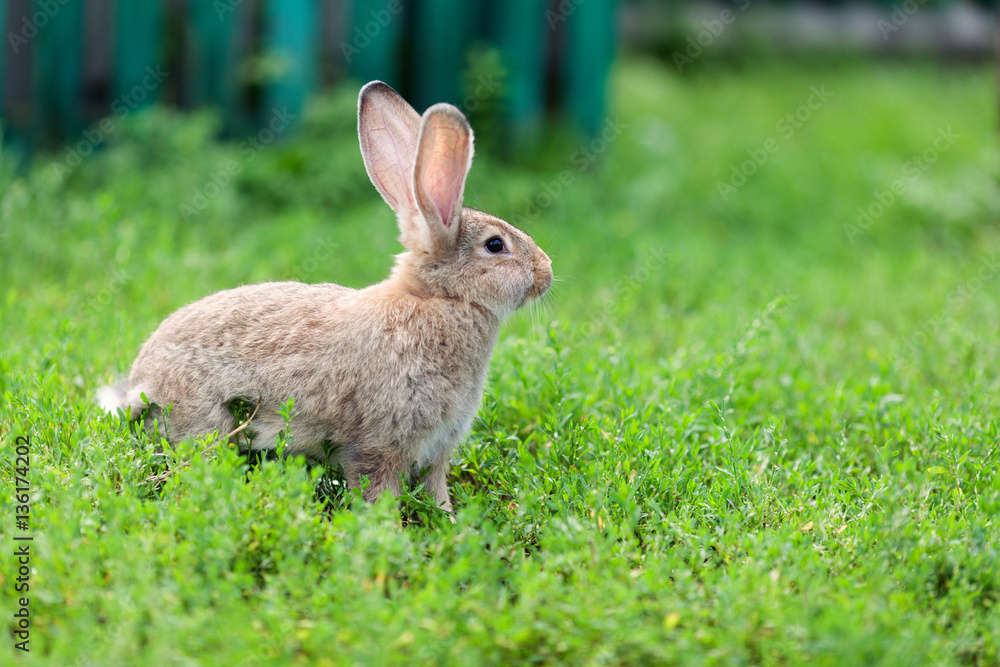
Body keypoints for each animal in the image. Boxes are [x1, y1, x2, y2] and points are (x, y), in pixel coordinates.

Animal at [98, 81, 552, 511]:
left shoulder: (437, 446)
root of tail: (141, 383)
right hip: (206, 421)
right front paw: (387, 530)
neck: (440, 300)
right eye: (496, 246)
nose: (545, 271)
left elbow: (435, 487)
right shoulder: (379, 443)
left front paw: (448, 519)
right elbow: (376, 489)